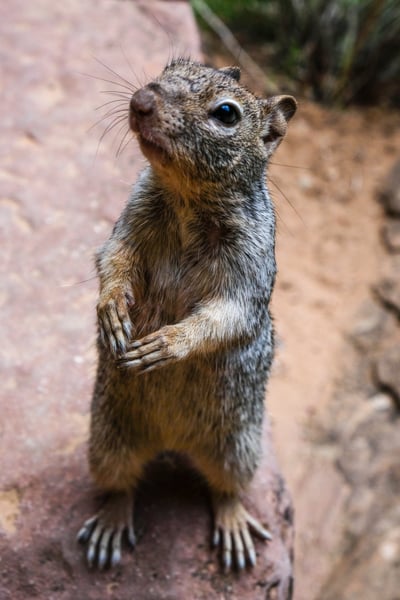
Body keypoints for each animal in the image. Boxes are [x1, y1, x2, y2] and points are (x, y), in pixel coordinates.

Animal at [78, 58, 296, 576]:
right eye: (171, 66)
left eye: (227, 113)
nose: (142, 100)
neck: (184, 199)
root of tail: (172, 442)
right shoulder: (130, 222)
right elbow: (113, 260)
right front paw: (111, 311)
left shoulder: (249, 270)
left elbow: (226, 314)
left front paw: (167, 343)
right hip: (106, 439)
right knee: (121, 484)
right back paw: (111, 524)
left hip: (239, 448)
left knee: (226, 489)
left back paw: (234, 525)